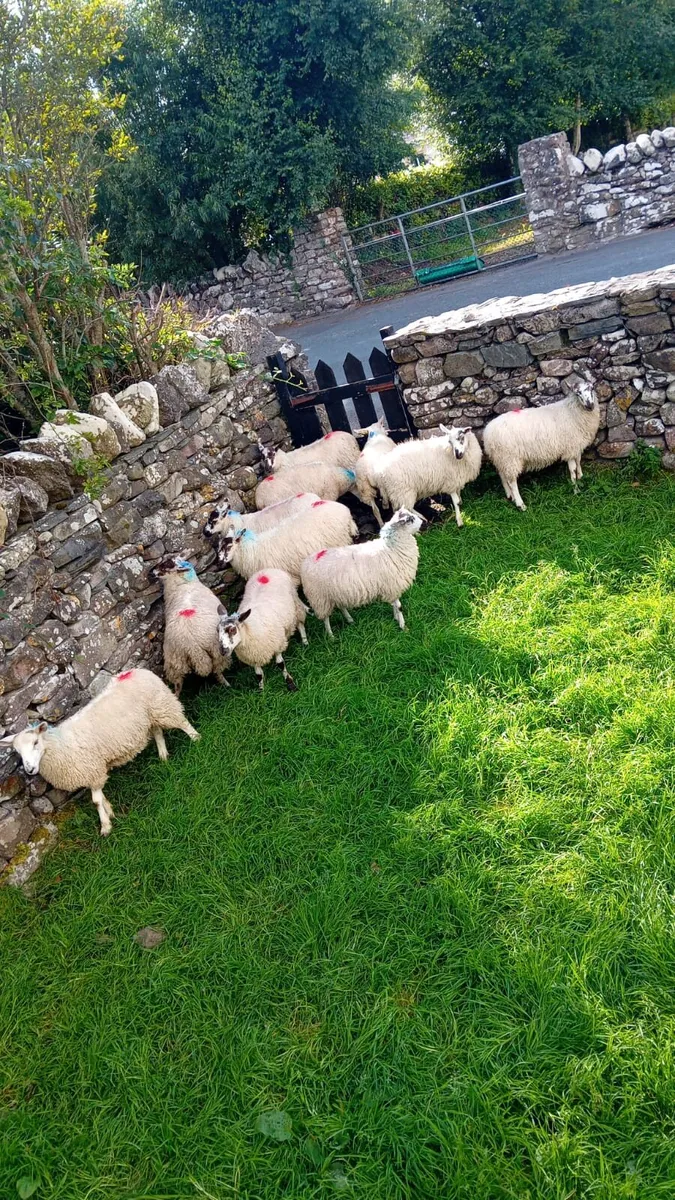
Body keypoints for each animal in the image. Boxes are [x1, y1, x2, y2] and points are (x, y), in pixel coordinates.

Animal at [0, 668, 199, 836]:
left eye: (35, 742)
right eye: (17, 752)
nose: (30, 770)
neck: (60, 746)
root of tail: (134, 671)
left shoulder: (93, 770)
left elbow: (95, 801)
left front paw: (105, 826)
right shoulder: (92, 772)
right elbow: (100, 798)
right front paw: (110, 812)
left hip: (162, 705)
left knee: (181, 722)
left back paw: (196, 739)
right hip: (150, 716)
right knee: (157, 731)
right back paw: (163, 756)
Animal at [149, 555, 230, 696]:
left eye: (166, 564)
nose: (151, 572)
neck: (184, 584)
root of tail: (192, 645)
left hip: (174, 661)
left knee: (178, 684)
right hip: (216, 652)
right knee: (218, 672)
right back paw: (226, 685)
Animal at [215, 499, 358, 582]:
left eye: (228, 547)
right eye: (219, 546)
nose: (218, 563)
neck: (252, 550)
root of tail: (344, 508)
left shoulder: (288, 576)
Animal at [300, 507, 425, 638]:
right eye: (410, 519)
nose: (423, 523)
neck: (391, 548)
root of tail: (305, 564)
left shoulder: (392, 588)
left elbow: (395, 605)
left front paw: (396, 619)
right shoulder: (392, 585)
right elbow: (399, 607)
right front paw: (403, 627)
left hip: (336, 593)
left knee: (341, 607)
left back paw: (350, 620)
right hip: (320, 598)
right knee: (325, 618)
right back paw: (331, 636)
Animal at [483, 381, 599, 510]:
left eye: (592, 388)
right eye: (578, 393)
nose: (590, 406)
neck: (572, 411)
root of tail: (487, 433)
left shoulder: (576, 444)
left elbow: (578, 461)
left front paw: (581, 476)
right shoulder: (570, 447)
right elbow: (572, 469)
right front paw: (576, 489)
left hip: (501, 458)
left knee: (503, 476)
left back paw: (509, 495)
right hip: (510, 458)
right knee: (512, 481)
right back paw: (520, 504)